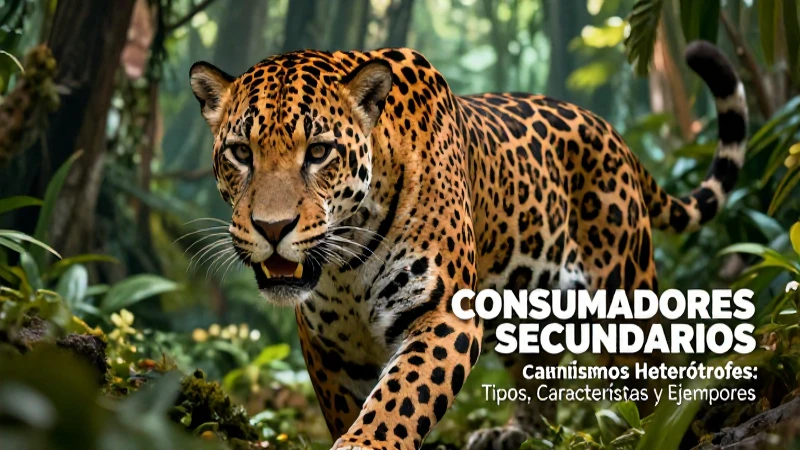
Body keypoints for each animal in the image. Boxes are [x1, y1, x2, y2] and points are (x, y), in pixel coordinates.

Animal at [189, 40, 747, 450]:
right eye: (240, 153)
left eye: (320, 152)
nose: (273, 228)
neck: (346, 258)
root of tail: (615, 136)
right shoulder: (327, 345)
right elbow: (349, 406)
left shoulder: (444, 314)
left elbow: (399, 398)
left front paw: (366, 443)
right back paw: (513, 434)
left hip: (627, 299)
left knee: (651, 375)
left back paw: (662, 429)